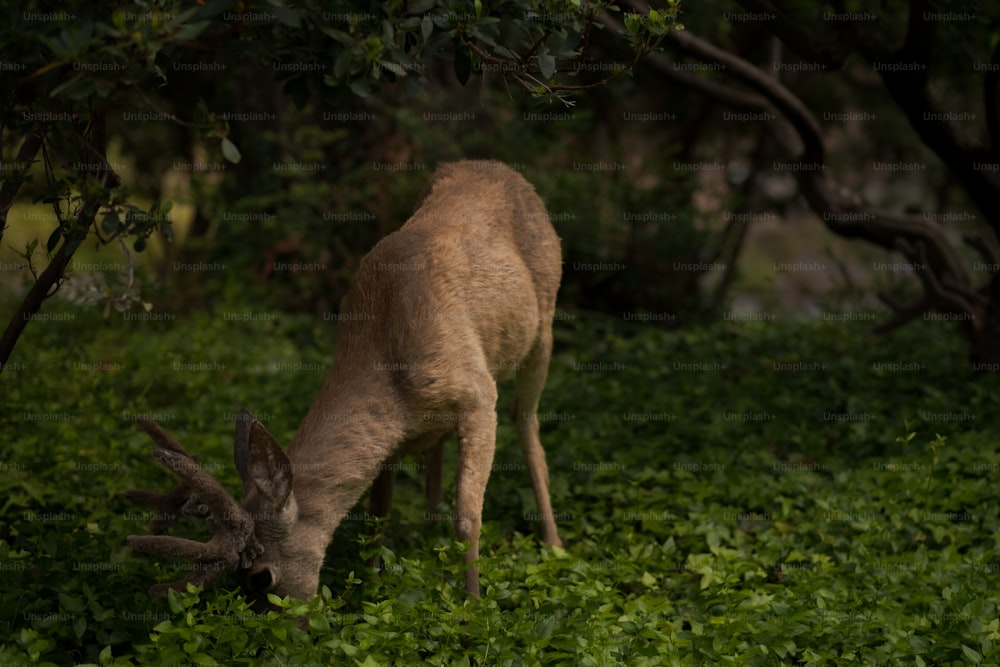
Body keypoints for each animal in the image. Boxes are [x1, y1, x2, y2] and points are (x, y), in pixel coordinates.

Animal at [125, 159, 564, 604]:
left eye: (261, 578)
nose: (274, 619)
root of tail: (500, 167)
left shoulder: (477, 397)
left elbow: (468, 515)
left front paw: (471, 601)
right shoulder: (393, 435)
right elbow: (378, 510)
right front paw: (371, 585)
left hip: (544, 323)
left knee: (525, 420)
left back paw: (554, 544)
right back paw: (430, 527)